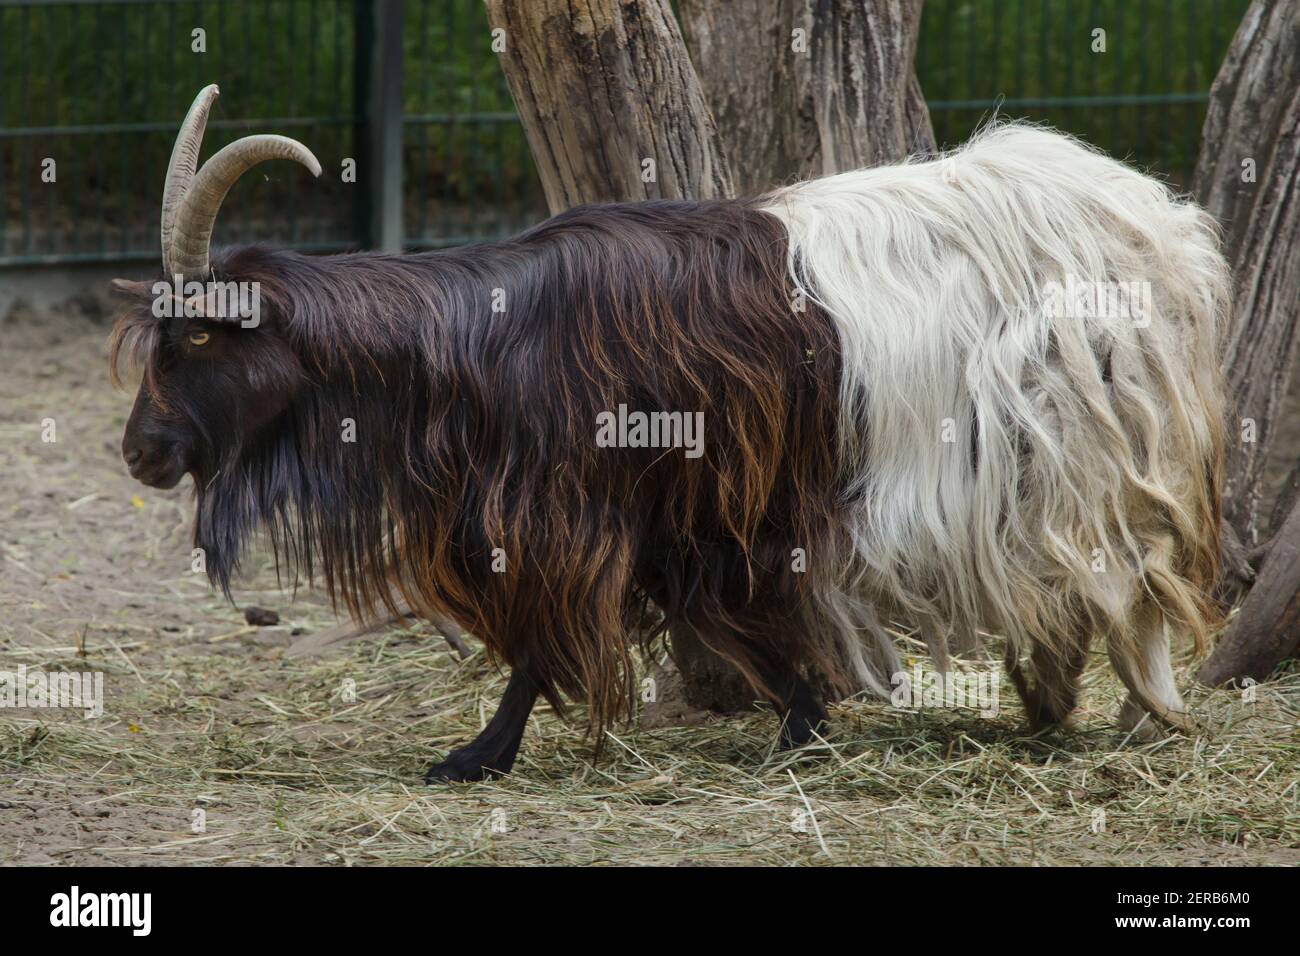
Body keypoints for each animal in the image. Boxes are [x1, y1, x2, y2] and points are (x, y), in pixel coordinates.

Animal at [111, 85, 1227, 780]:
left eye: (199, 332)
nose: (141, 451)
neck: (478, 345)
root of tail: (1162, 228)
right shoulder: (679, 504)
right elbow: (732, 612)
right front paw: (804, 720)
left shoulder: (573, 505)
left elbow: (544, 636)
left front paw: (477, 756)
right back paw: (1060, 700)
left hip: (1084, 441)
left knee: (1124, 572)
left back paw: (1136, 708)